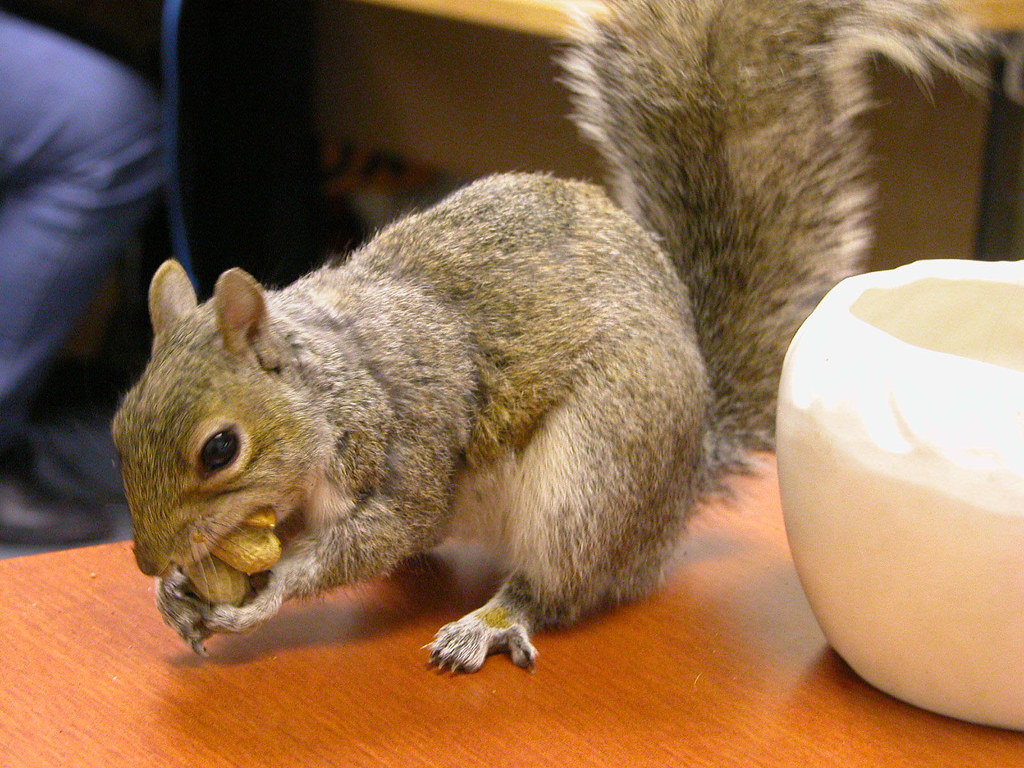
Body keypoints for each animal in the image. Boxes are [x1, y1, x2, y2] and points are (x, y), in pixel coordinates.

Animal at [112, 0, 984, 671]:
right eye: (118, 424)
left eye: (220, 450)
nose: (148, 557)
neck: (329, 378)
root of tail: (679, 486)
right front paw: (173, 594)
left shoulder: (409, 435)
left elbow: (387, 529)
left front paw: (266, 595)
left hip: (595, 473)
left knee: (563, 585)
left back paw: (493, 621)